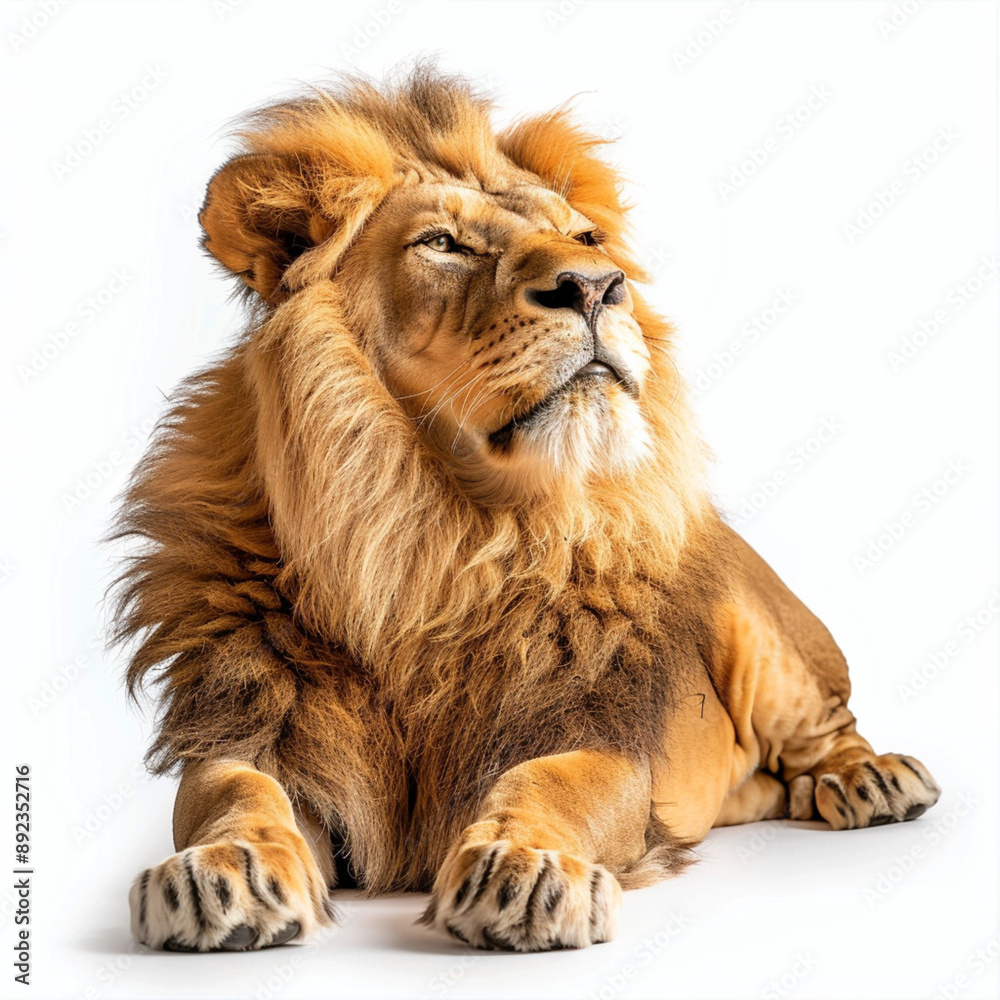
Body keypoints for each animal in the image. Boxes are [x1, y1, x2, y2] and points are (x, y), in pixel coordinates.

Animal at [113, 66, 941, 954]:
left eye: (588, 239)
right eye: (442, 244)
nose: (595, 286)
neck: (441, 538)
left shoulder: (595, 728)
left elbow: (549, 784)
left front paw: (525, 870)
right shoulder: (256, 721)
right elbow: (233, 793)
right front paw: (222, 872)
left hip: (766, 633)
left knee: (827, 726)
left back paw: (873, 780)